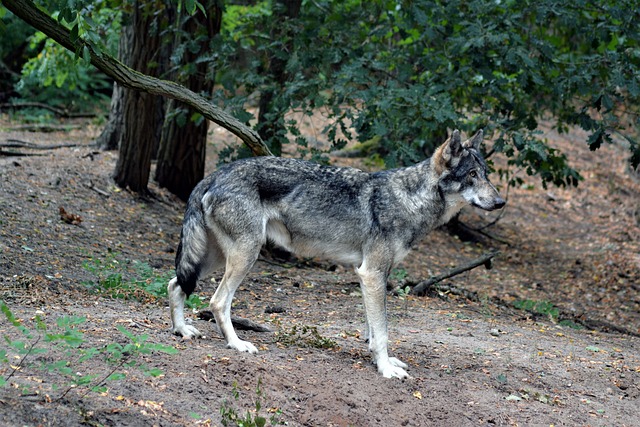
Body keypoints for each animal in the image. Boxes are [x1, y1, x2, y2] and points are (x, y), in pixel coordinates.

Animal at [166, 130, 504, 378]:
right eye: (472, 174)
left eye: (486, 174)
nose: (501, 202)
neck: (410, 200)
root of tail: (213, 174)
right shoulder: (372, 274)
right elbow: (383, 332)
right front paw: (386, 370)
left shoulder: (373, 277)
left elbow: (373, 330)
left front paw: (383, 361)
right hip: (244, 255)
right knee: (217, 301)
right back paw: (237, 344)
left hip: (216, 258)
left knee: (175, 284)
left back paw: (182, 330)